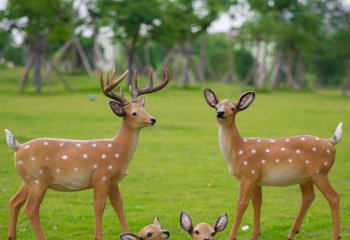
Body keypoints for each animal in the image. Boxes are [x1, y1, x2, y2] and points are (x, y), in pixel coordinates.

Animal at [5, 68, 170, 239]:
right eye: (134, 113)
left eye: (145, 109)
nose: (152, 119)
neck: (117, 151)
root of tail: (18, 147)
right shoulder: (101, 176)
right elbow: (99, 206)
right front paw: (98, 236)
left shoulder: (113, 181)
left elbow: (119, 205)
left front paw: (127, 232)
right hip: (38, 179)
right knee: (30, 208)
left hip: (28, 180)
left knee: (14, 201)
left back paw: (11, 236)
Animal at [204, 89, 344, 240]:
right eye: (216, 106)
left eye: (232, 108)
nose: (220, 113)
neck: (237, 150)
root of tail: (330, 142)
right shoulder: (256, 179)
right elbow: (257, 202)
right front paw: (255, 235)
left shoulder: (249, 173)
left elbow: (241, 203)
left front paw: (232, 237)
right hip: (306, 177)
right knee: (308, 197)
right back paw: (292, 233)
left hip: (320, 172)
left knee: (334, 197)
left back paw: (336, 236)